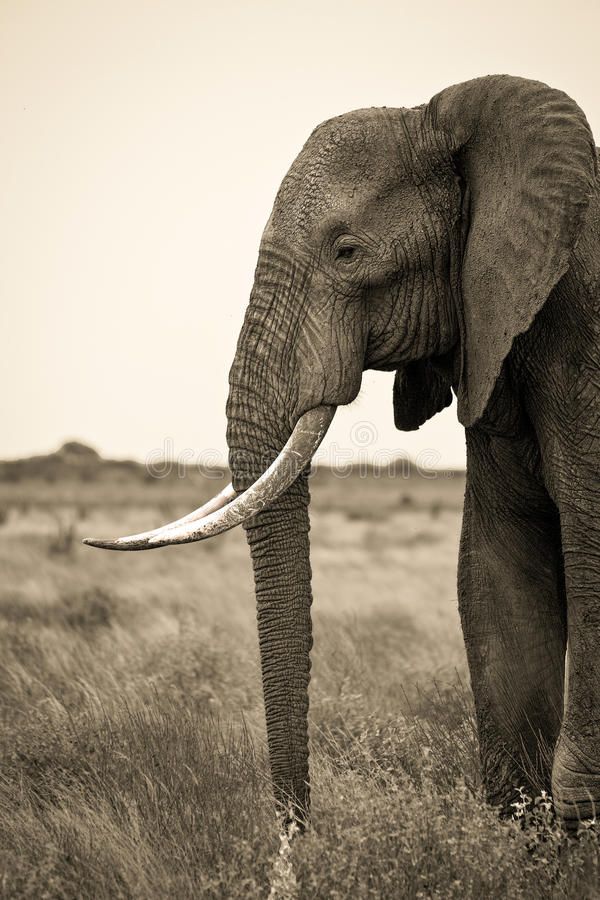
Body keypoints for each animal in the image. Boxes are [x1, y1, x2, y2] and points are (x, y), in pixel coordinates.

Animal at [86, 77, 600, 836]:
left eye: (347, 252)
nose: (295, 839)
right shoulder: (493, 339)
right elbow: (494, 569)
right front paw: (524, 831)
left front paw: (576, 814)